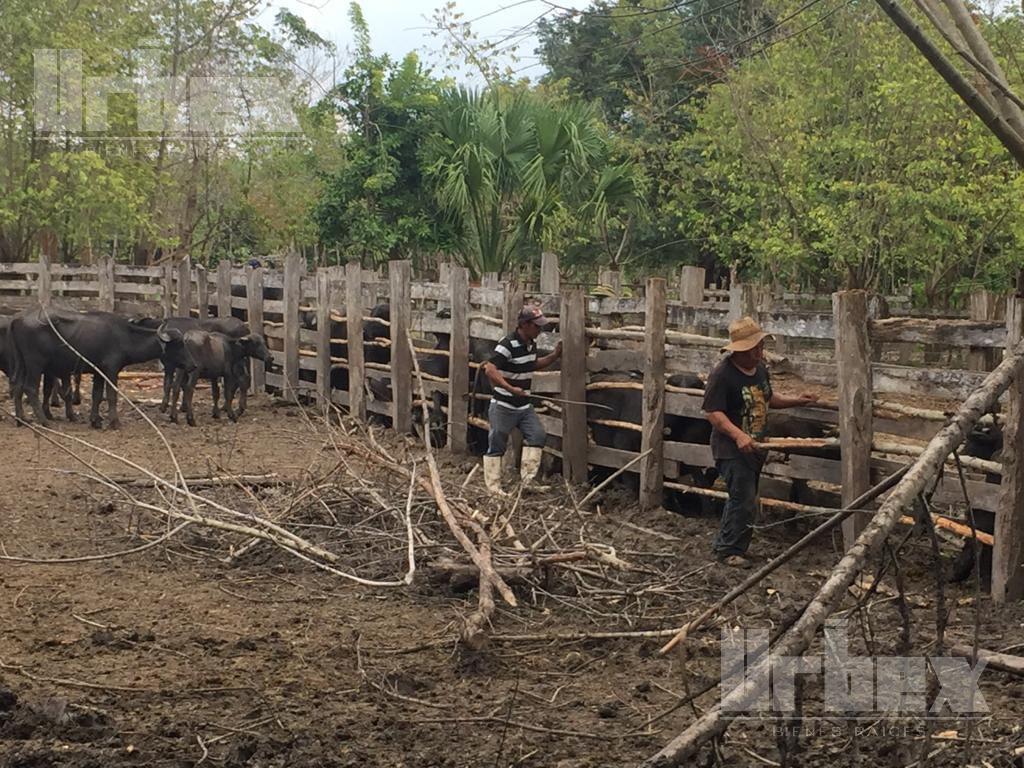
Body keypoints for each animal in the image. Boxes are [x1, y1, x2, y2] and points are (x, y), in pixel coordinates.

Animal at [10, 309, 161, 430]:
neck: (125, 336)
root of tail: (17, 319)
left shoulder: (99, 371)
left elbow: (97, 395)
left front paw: (95, 421)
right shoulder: (111, 370)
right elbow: (111, 395)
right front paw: (114, 422)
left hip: (22, 364)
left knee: (18, 387)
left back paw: (21, 420)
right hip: (35, 364)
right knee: (30, 388)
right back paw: (44, 422)